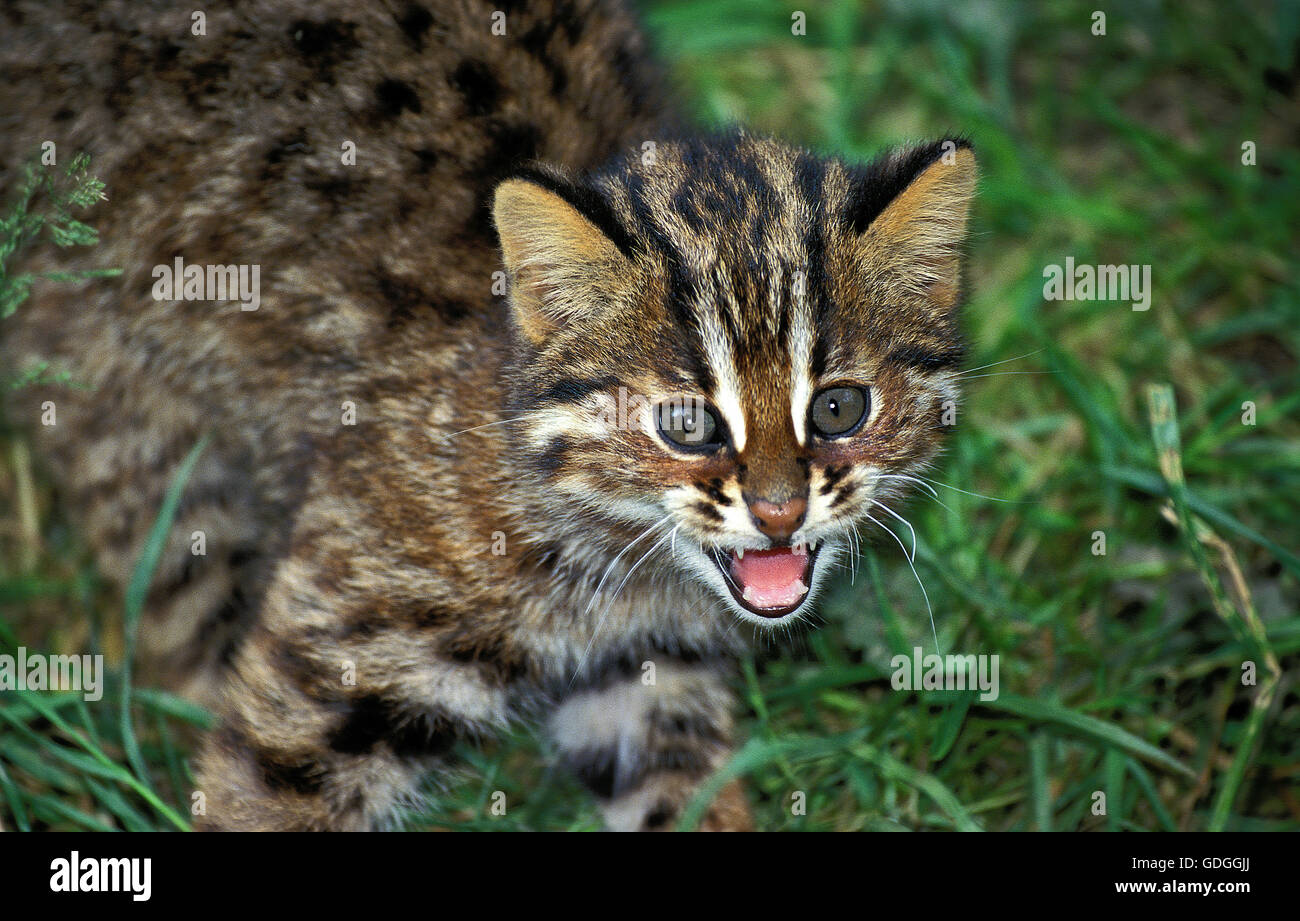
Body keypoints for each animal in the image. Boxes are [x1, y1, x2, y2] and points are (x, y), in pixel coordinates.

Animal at [0, 0, 977, 832]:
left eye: (839, 407)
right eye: (686, 423)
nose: (780, 513)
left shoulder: (645, 678)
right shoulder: (339, 655)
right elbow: (262, 789)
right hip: (110, 372)